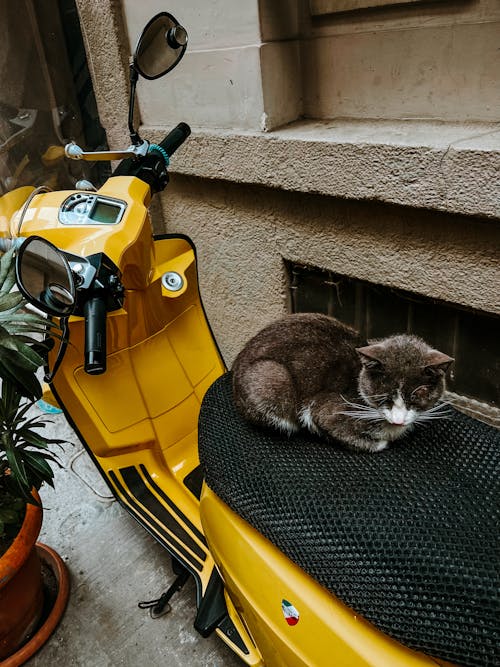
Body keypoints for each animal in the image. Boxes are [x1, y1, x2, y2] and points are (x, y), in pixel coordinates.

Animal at [230, 314, 454, 454]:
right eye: (383, 397)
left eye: (417, 396)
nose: (399, 421)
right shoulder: (324, 409)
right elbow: (339, 430)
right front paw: (381, 442)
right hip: (272, 377)